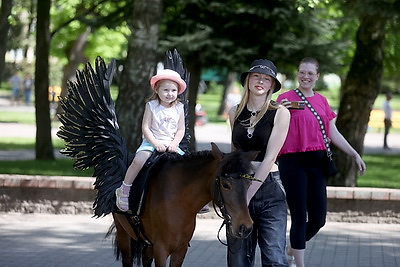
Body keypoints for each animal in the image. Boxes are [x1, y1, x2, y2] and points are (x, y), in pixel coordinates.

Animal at [108, 144, 260, 267]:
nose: (245, 227)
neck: (180, 202)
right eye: (225, 185)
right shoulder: (161, 249)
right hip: (123, 233)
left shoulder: (180, 250)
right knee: (127, 259)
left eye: (249, 183)